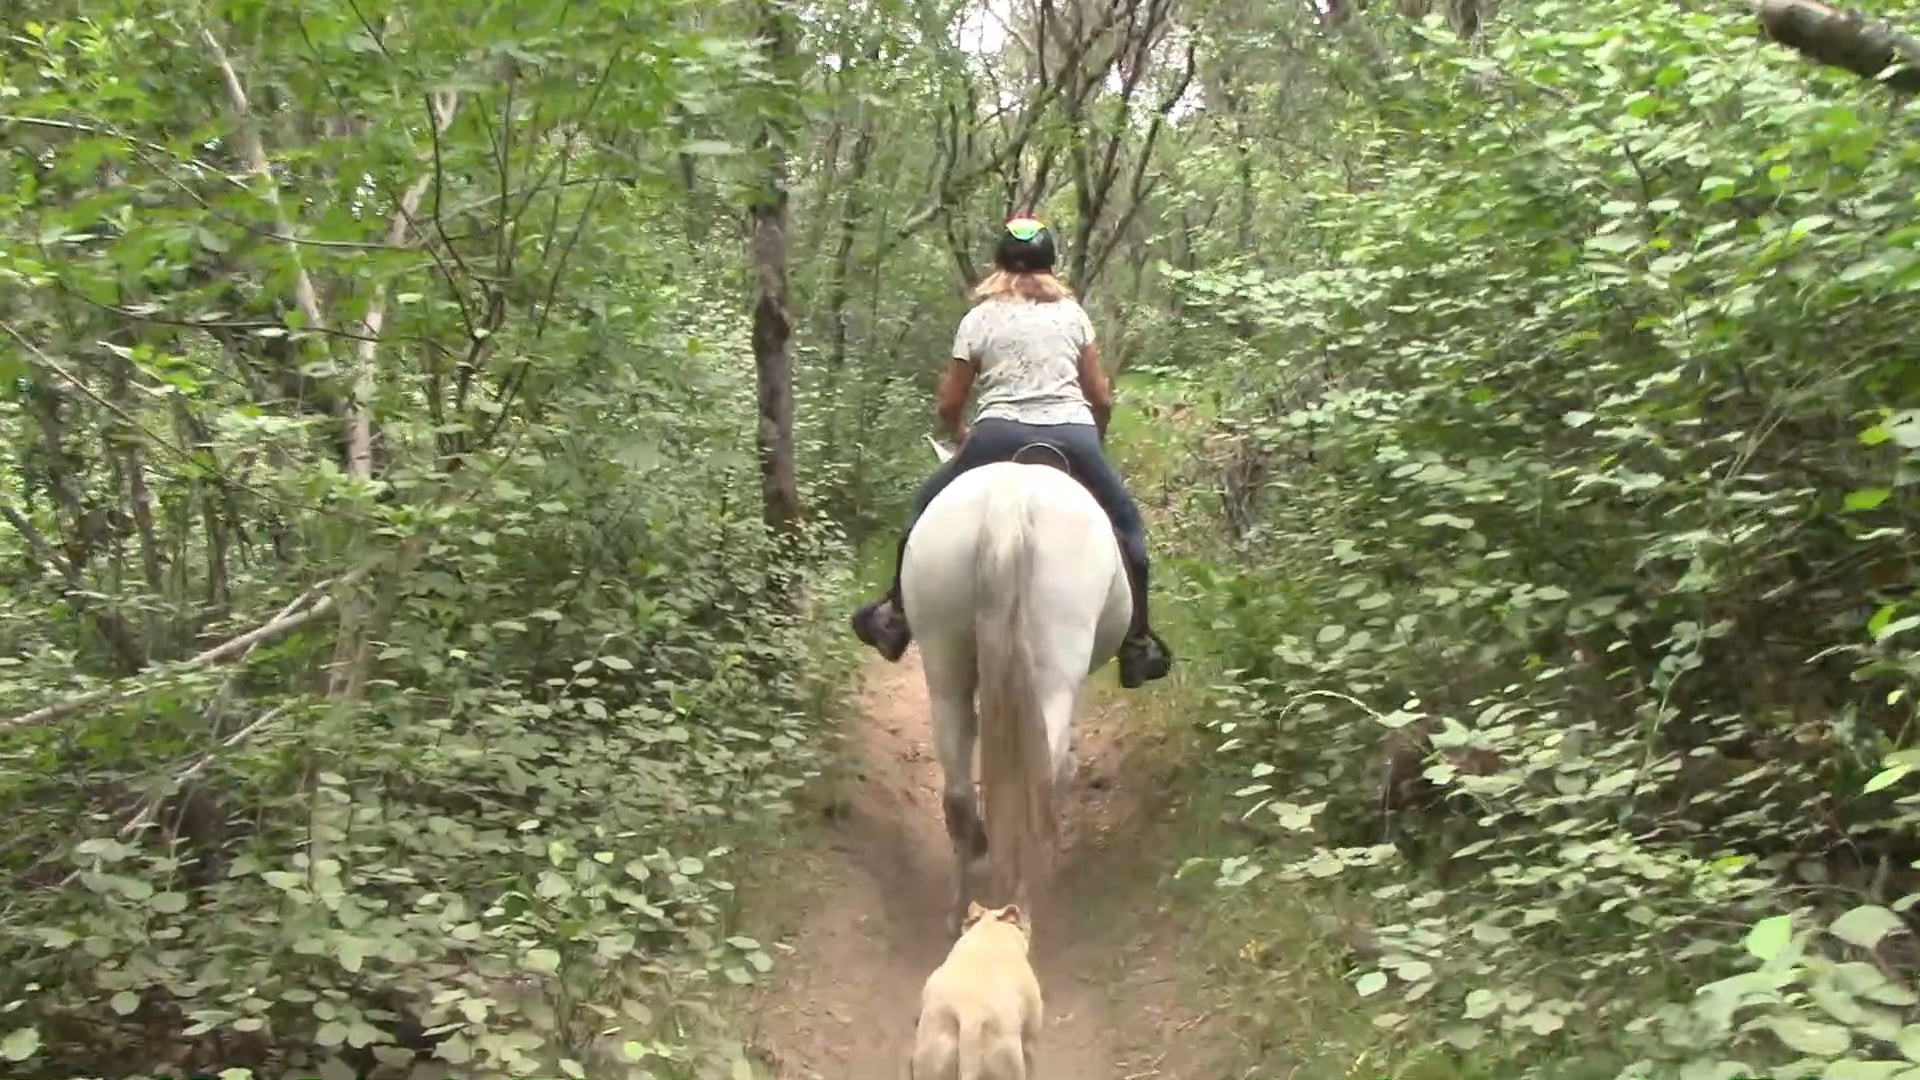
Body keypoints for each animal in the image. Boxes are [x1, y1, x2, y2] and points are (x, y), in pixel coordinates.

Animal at [902, 434, 1134, 937]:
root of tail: (1008, 502)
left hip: (943, 660)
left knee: (958, 791)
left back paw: (962, 903)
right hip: (1055, 670)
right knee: (1040, 786)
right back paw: (1026, 903)